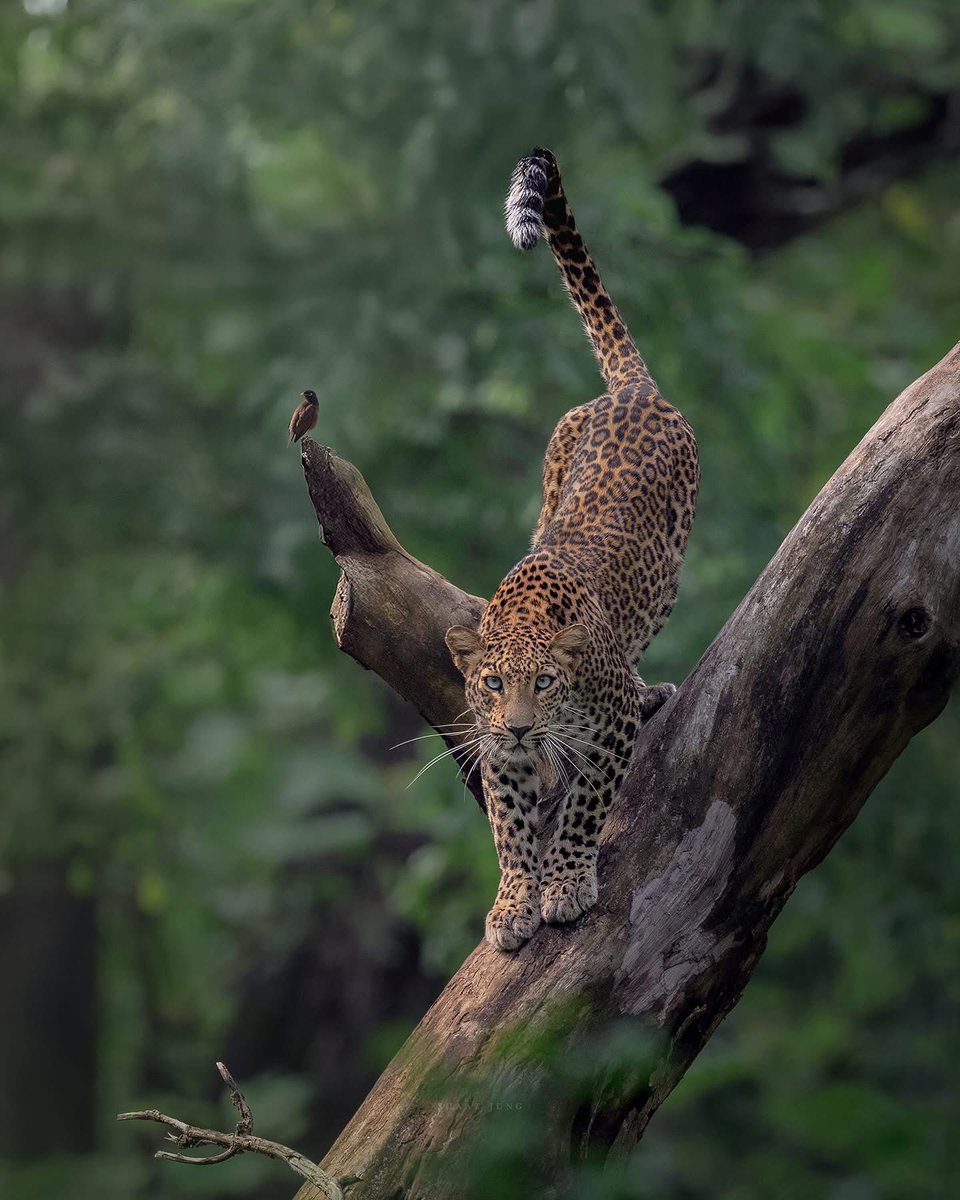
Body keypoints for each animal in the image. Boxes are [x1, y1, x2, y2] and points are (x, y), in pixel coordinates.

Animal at [445, 147, 699, 952]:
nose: (525, 726)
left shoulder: (608, 733)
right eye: (494, 685)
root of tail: (632, 391)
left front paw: (562, 887)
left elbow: (586, 807)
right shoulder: (495, 751)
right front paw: (513, 902)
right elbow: (511, 829)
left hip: (667, 577)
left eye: (546, 683)